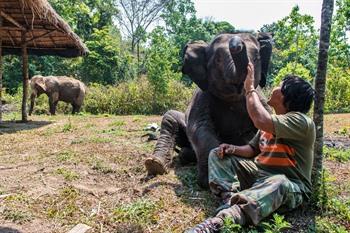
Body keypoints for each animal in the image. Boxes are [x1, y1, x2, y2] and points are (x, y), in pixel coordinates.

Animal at [145, 32, 274, 188]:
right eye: (218, 60)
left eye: (256, 58)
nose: (236, 41)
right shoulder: (202, 96)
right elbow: (199, 128)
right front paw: (208, 180)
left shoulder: (261, 98)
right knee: (170, 118)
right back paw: (156, 164)